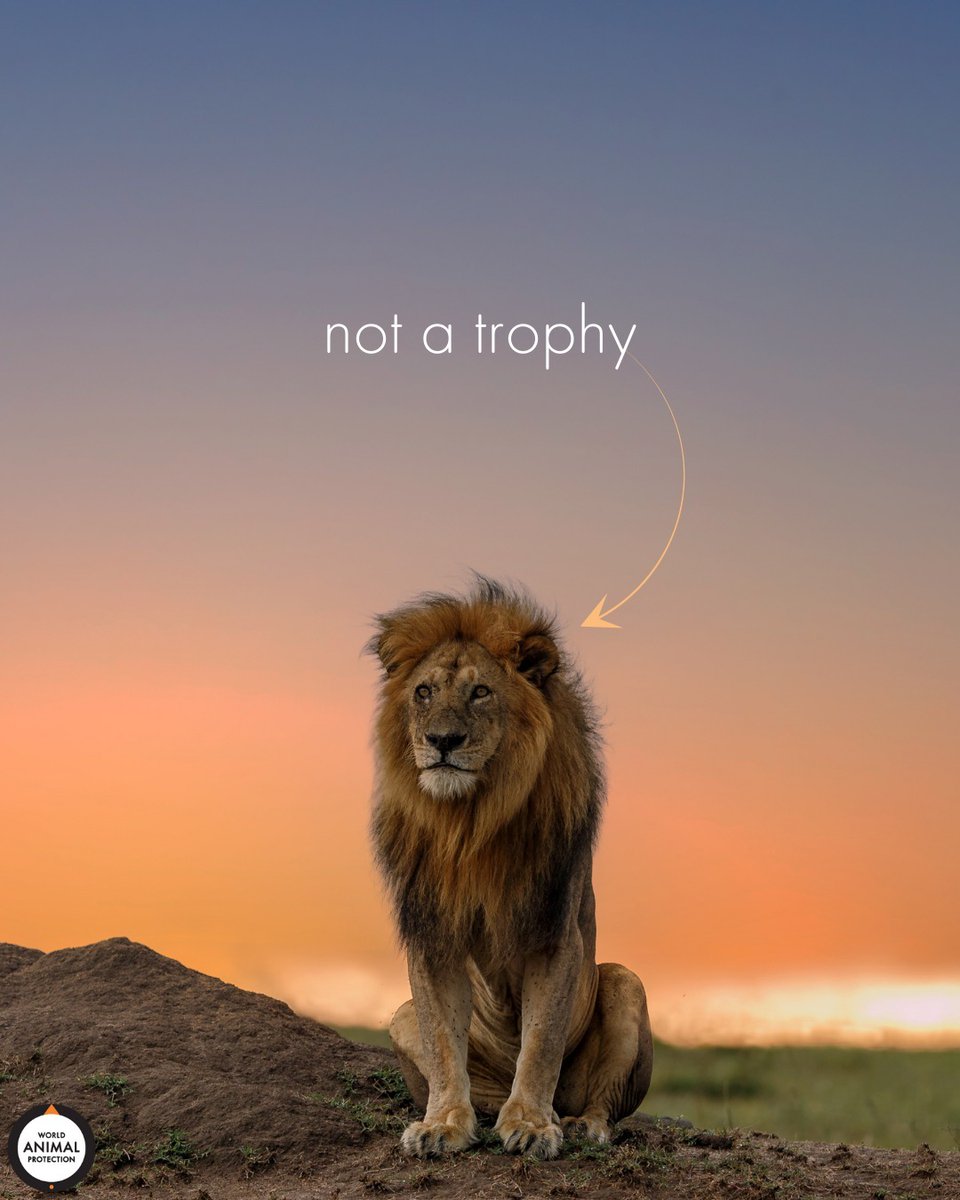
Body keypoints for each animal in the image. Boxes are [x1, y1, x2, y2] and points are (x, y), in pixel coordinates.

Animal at [365, 575, 653, 1160]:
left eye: (480, 692)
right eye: (424, 692)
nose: (442, 741)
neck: (469, 823)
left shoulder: (553, 931)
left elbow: (541, 1042)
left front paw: (532, 1125)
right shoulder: (433, 931)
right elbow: (443, 1041)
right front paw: (443, 1124)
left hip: (624, 983)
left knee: (599, 1100)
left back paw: (578, 1124)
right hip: (401, 1016)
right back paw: (486, 1112)